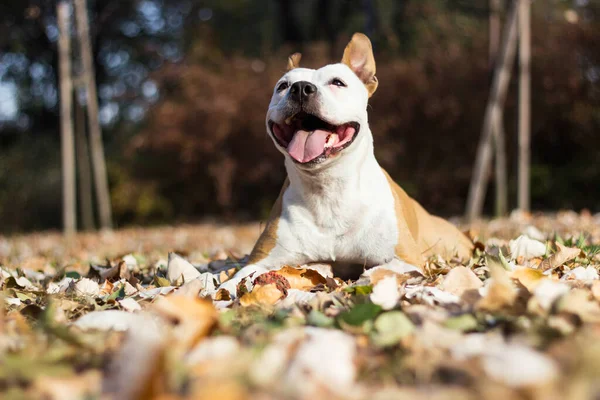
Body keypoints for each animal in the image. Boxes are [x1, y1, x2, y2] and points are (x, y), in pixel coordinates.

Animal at [227, 32, 472, 286]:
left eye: (338, 83)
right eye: (283, 86)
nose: (301, 88)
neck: (327, 187)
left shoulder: (407, 260)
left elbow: (374, 274)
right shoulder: (260, 262)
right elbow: (231, 283)